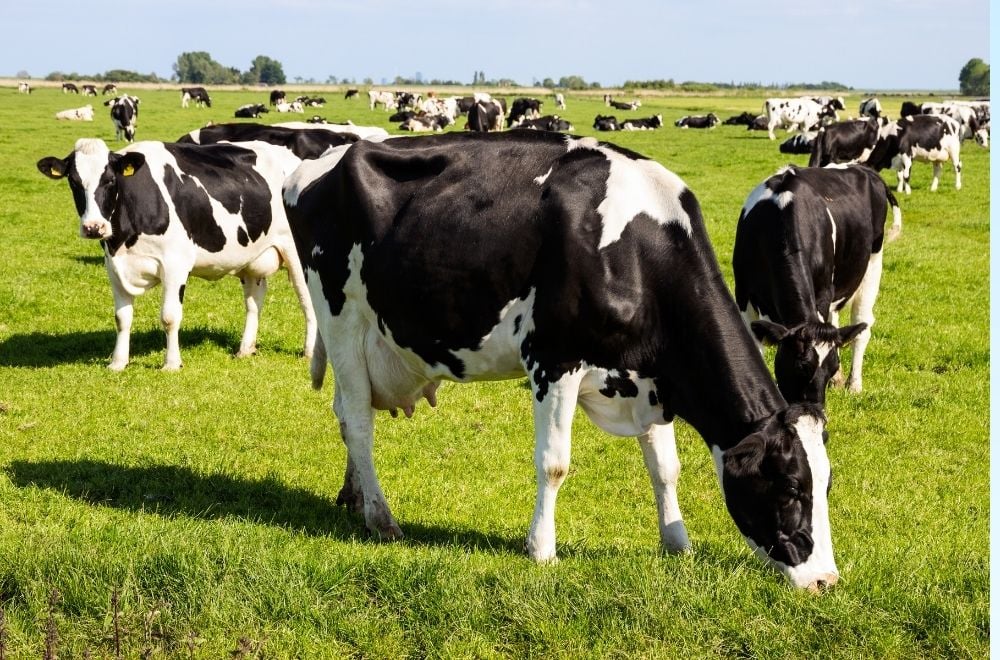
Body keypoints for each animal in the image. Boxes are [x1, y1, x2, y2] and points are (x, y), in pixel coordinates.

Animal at [36, 138, 317, 371]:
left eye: (110, 181)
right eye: (74, 182)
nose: (94, 227)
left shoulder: (175, 264)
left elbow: (170, 317)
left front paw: (171, 364)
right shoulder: (114, 267)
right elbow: (122, 318)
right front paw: (118, 362)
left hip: (297, 255)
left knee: (308, 301)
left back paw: (309, 351)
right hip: (251, 259)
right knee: (254, 302)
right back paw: (245, 349)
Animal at [281, 131, 841, 592]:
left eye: (827, 483)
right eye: (791, 485)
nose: (826, 580)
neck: (637, 252)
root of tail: (320, 162)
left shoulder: (653, 377)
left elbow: (666, 467)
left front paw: (677, 542)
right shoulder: (554, 359)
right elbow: (554, 463)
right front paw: (542, 550)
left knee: (346, 412)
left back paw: (354, 497)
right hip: (341, 315)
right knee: (358, 420)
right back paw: (381, 517)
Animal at [733, 164, 901, 404]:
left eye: (832, 367)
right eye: (799, 367)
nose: (816, 410)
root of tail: (864, 169)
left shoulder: (822, 291)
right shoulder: (743, 294)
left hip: (873, 261)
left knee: (862, 324)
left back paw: (854, 385)